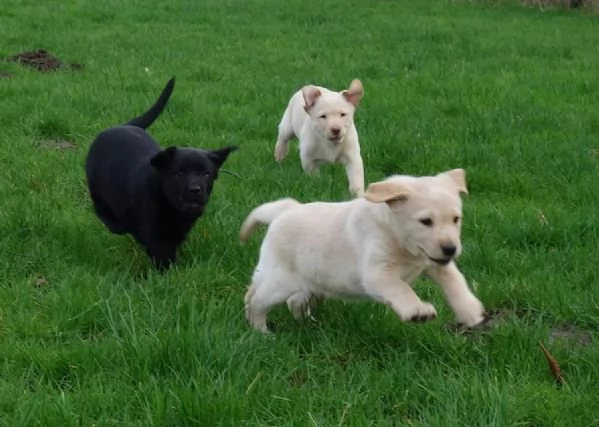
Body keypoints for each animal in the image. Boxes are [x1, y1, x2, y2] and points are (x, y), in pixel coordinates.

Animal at [85, 77, 239, 270]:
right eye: (179, 174)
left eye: (205, 174)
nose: (195, 189)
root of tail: (122, 125)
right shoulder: (156, 237)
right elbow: (163, 258)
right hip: (96, 184)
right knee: (102, 209)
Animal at [240, 169, 488, 336]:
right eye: (426, 221)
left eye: (456, 219)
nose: (450, 249)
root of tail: (284, 210)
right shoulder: (377, 273)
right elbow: (401, 288)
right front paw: (417, 310)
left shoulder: (435, 263)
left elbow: (455, 282)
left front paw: (470, 311)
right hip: (280, 281)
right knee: (255, 299)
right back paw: (262, 331)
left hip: (313, 282)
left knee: (294, 302)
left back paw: (310, 324)